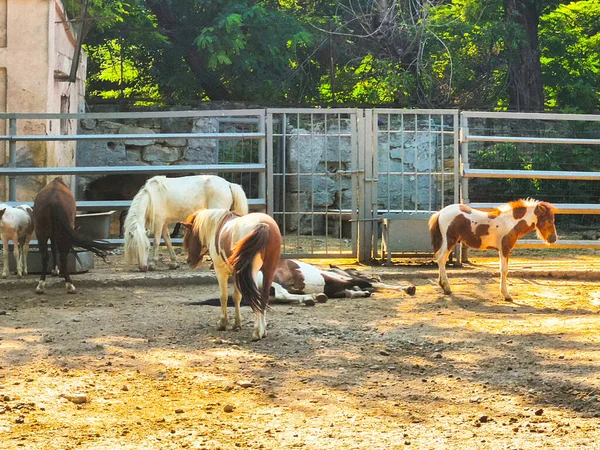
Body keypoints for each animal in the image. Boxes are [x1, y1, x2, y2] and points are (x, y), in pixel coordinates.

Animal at [182, 209, 282, 340]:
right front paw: (237, 324)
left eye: (188, 236)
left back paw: (257, 332)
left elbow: (223, 296)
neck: (217, 226)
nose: (189, 261)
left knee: (256, 297)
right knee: (263, 296)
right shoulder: (236, 274)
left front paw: (223, 323)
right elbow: (236, 297)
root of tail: (263, 225)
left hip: (252, 273)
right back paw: (263, 331)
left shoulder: (220, 271)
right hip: (268, 271)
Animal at [428, 199, 556, 300]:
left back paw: (443, 286)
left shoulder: (502, 250)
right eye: (549, 220)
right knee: (441, 258)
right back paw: (447, 288)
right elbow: (504, 270)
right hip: (450, 241)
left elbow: (502, 269)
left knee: (441, 258)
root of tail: (440, 213)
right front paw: (506, 295)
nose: (553, 238)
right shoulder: (505, 248)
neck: (510, 222)